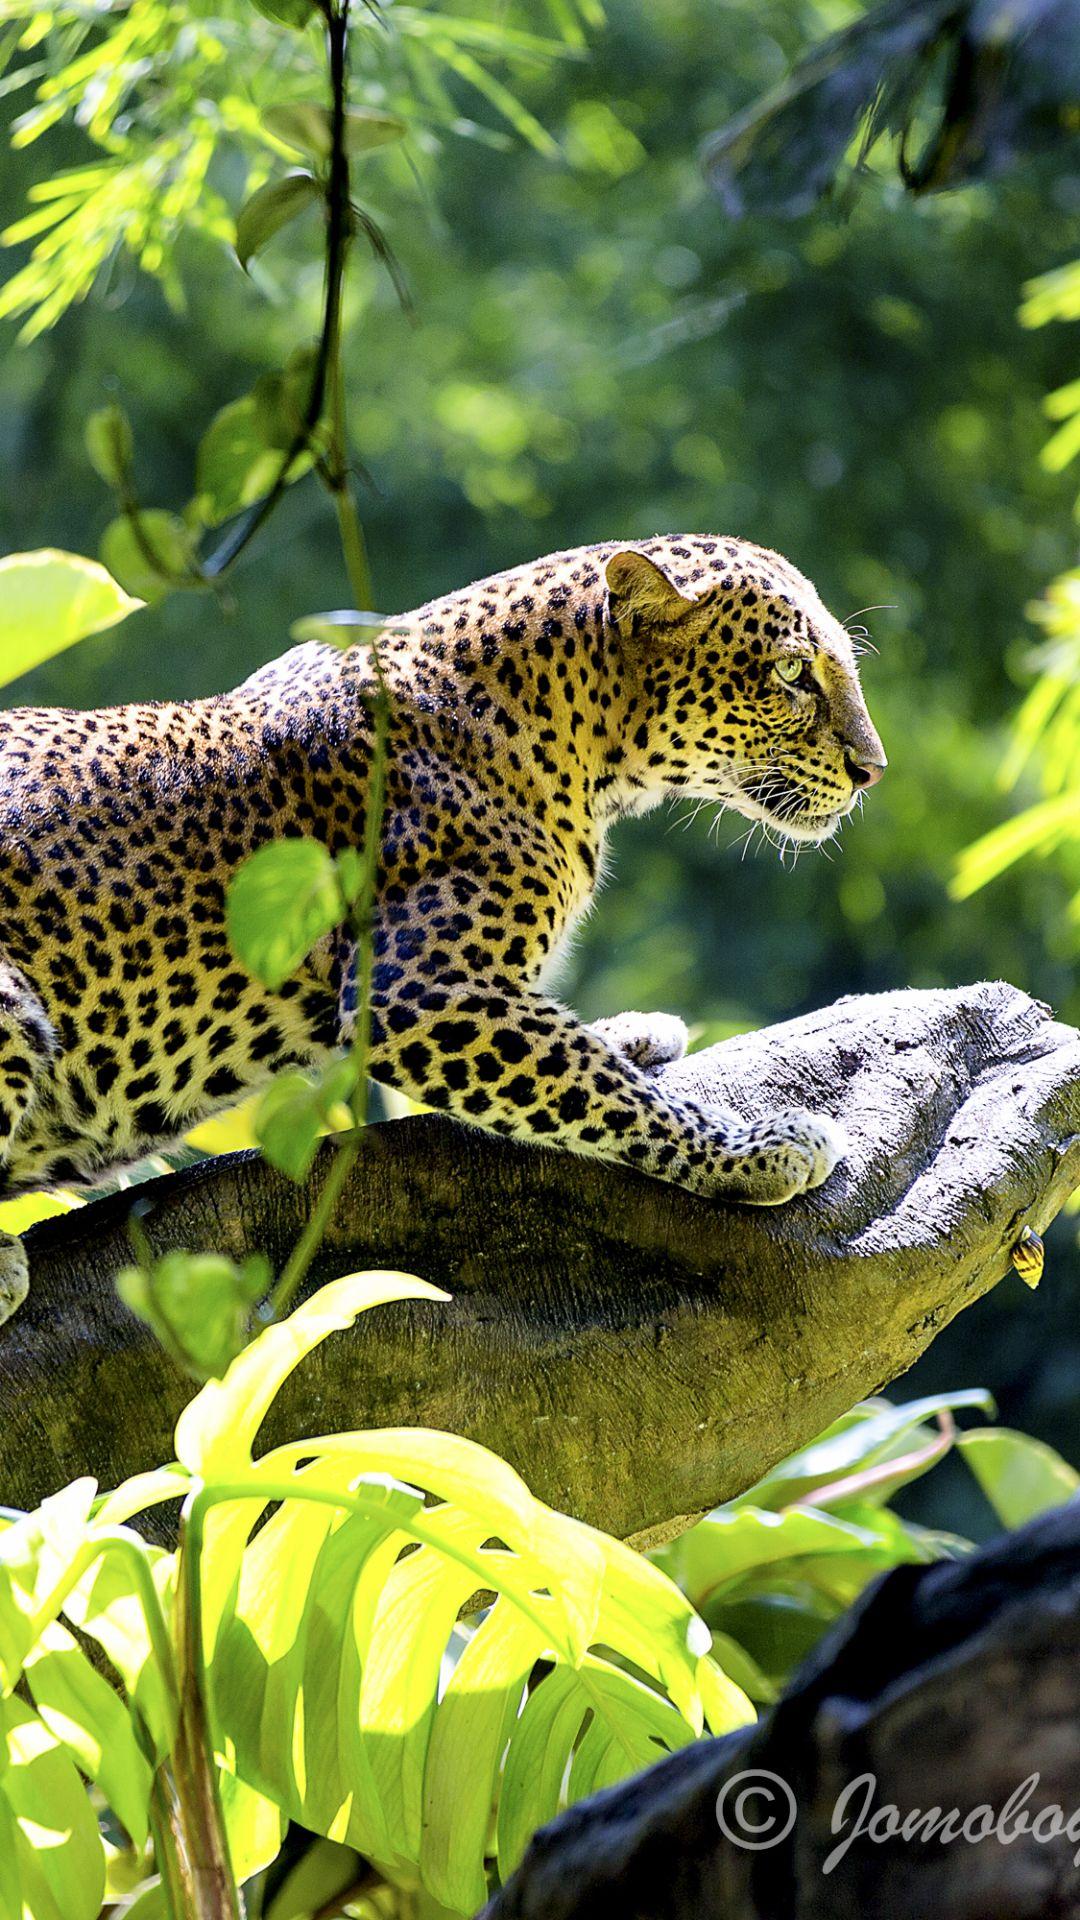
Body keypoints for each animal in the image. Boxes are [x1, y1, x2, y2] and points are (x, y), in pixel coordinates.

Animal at [0, 533, 886, 1324]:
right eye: (791, 672)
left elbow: (581, 1052)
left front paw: (632, 1030)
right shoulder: (417, 992)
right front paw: (757, 1149)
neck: (578, 743)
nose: (871, 771)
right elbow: (600, 1087)